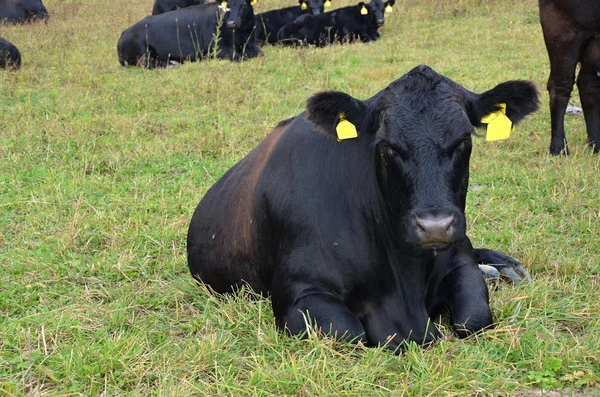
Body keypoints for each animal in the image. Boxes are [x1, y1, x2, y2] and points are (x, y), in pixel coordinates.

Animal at [118, 0, 262, 67]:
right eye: (228, 6)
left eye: (244, 5)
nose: (231, 23)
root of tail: (126, 31)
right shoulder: (216, 49)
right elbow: (239, 57)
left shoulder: (251, 44)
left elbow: (260, 53)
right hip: (142, 54)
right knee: (149, 65)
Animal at [188, 63, 540, 348]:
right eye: (387, 146)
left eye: (464, 140)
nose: (435, 226)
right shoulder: (300, 292)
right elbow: (349, 333)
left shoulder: (458, 258)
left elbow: (474, 318)